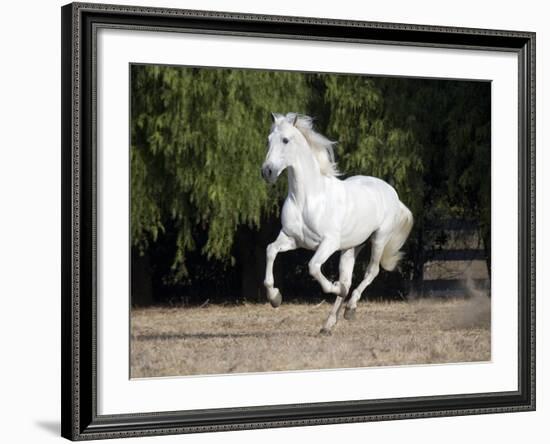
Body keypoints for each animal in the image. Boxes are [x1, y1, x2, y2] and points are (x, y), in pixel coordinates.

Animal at [264, 112, 414, 334]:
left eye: (285, 140)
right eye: (268, 140)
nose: (267, 172)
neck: (307, 199)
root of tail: (391, 192)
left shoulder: (329, 243)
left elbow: (313, 267)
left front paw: (334, 287)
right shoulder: (292, 239)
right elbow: (271, 250)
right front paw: (275, 297)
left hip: (379, 238)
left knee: (371, 271)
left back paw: (350, 308)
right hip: (352, 247)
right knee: (348, 279)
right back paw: (328, 324)